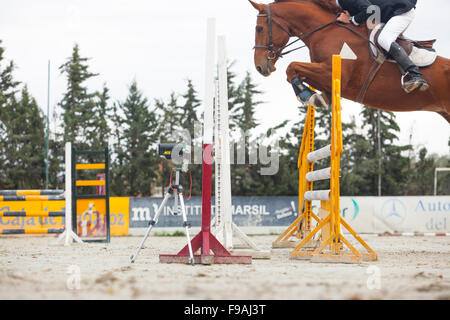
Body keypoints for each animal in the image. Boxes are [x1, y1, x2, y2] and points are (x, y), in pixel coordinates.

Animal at [250, 0, 450, 122]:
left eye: (259, 29)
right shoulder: (324, 77)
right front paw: (316, 97)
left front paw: (308, 95)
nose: (259, 67)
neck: (326, 32)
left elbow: (291, 67)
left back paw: (416, 80)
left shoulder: (333, 73)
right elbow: (295, 72)